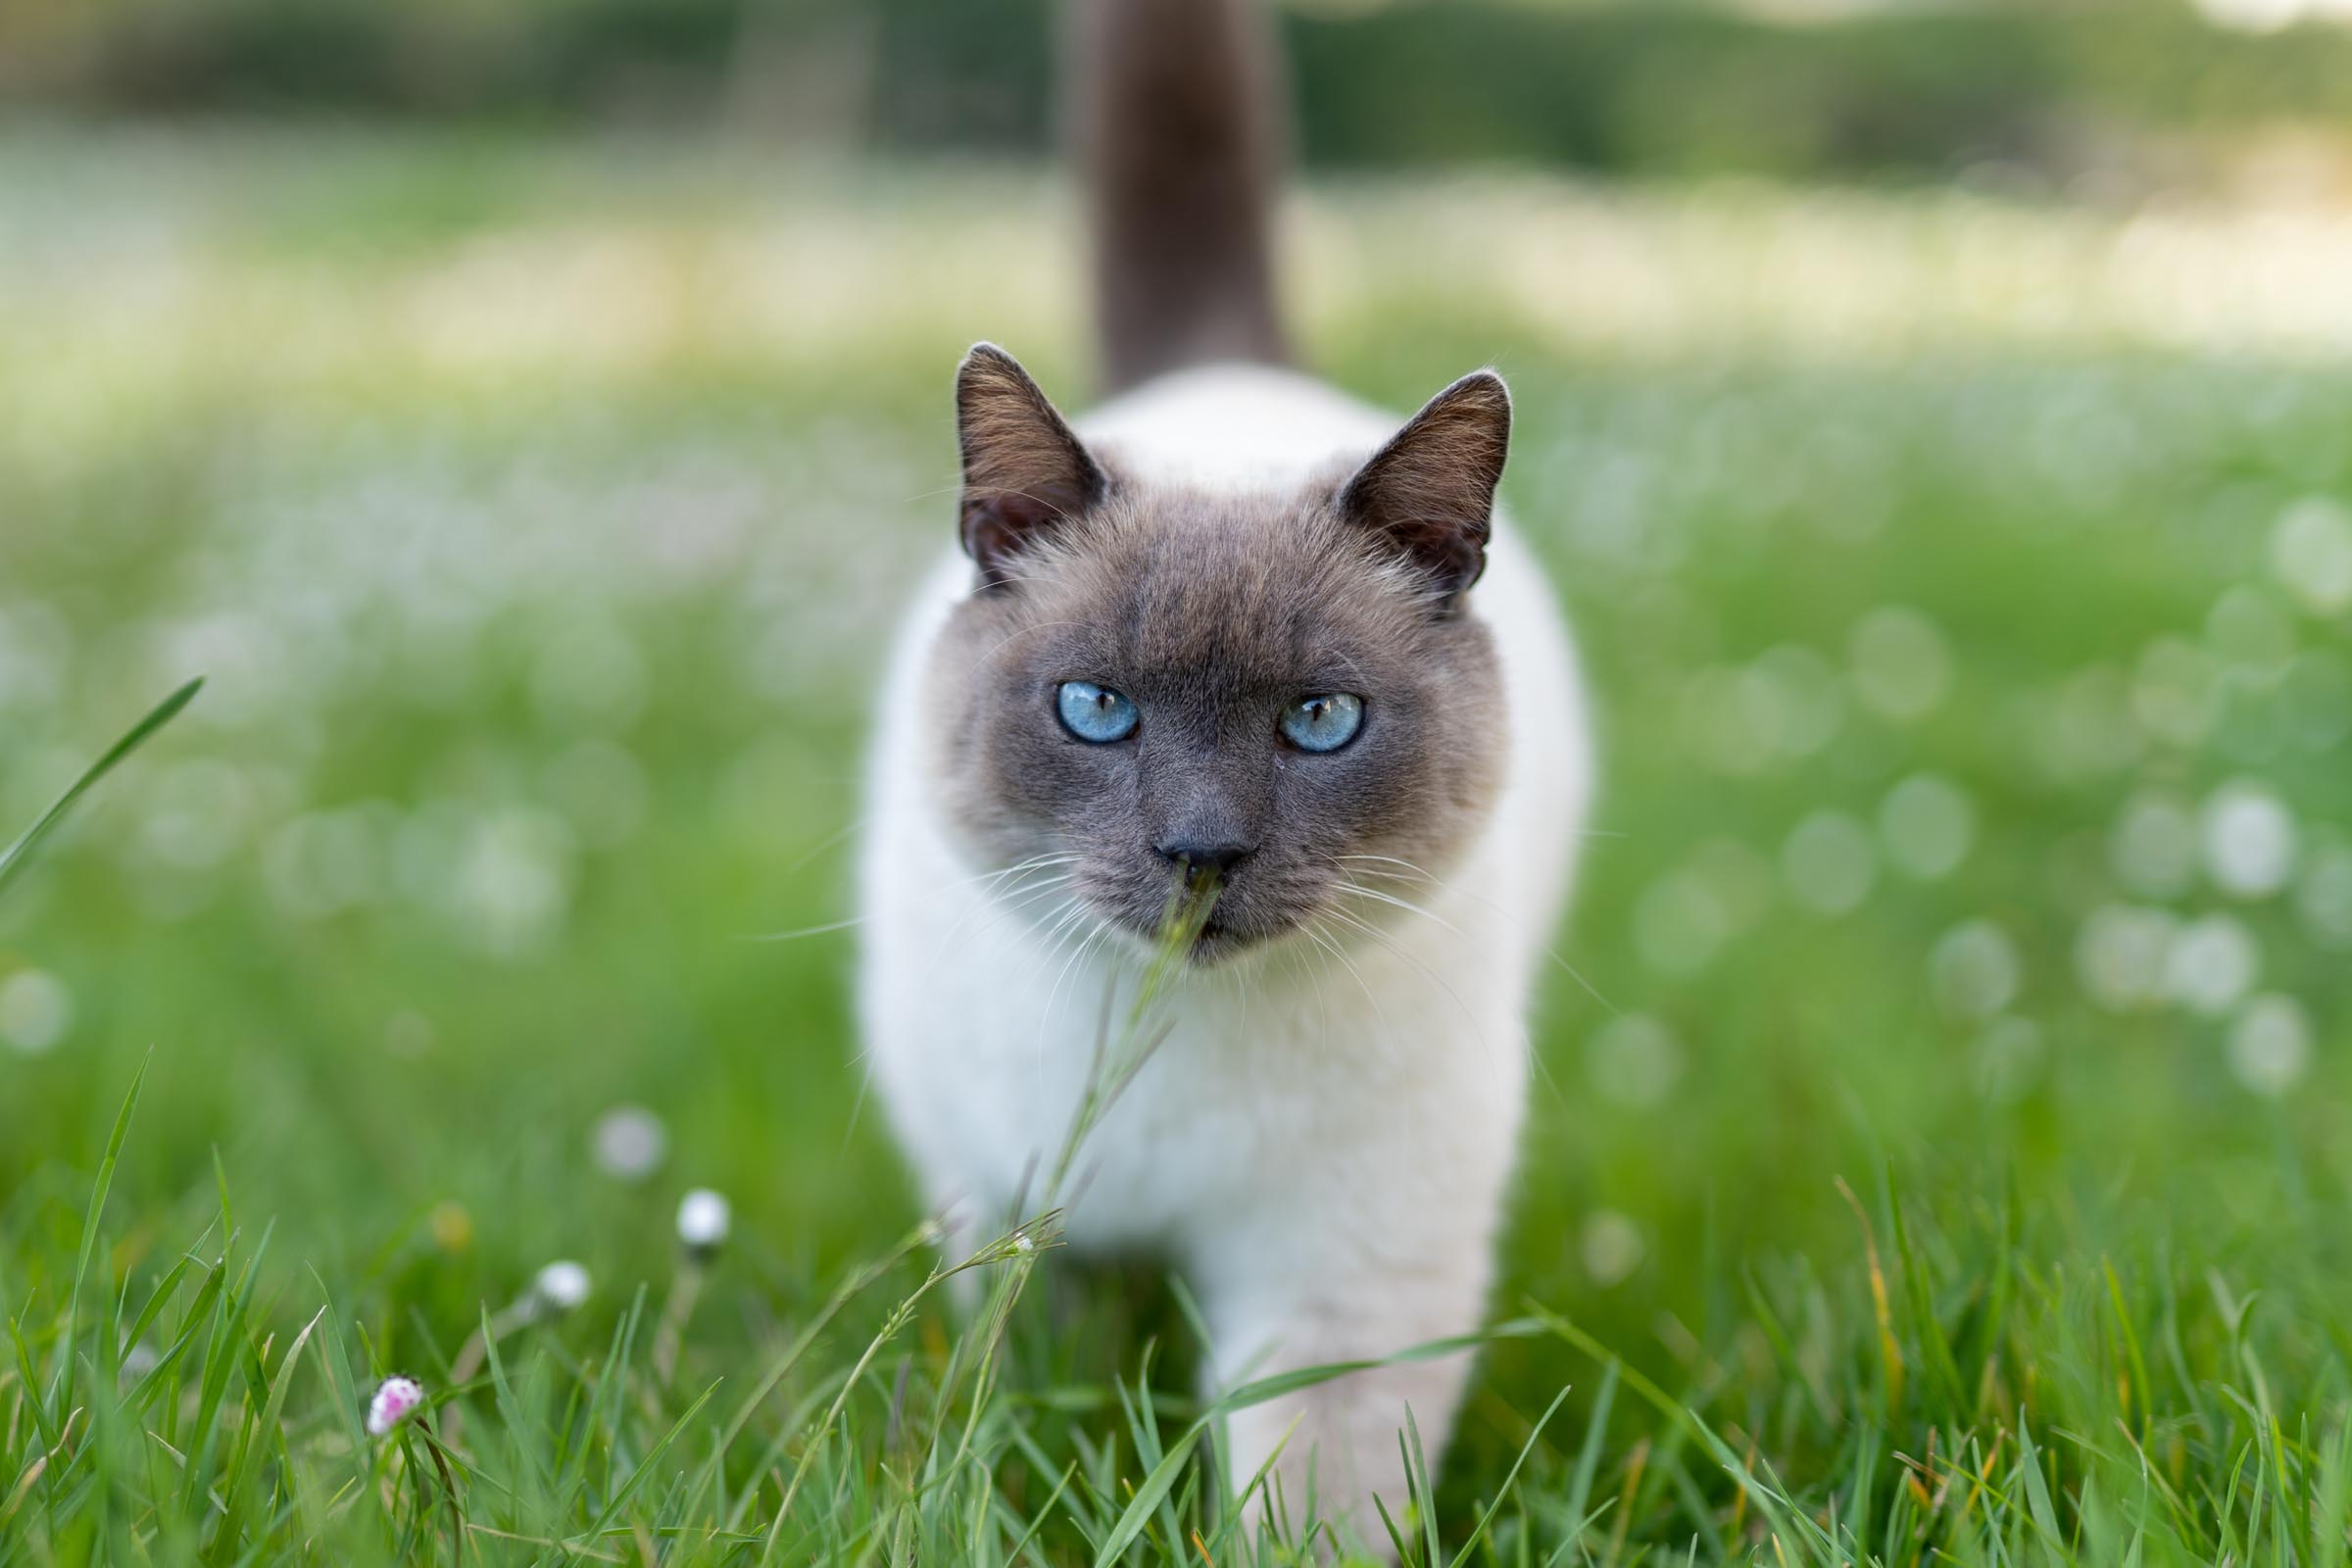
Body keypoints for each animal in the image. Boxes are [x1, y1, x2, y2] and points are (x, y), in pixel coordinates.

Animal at [856, 0, 1590, 1542]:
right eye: (1096, 710)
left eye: (1319, 722)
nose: (1201, 851)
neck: (1170, 1049)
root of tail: (1222, 376)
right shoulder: (1006, 1214)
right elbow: (1009, 1414)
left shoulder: (1340, 1280)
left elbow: (1305, 1498)